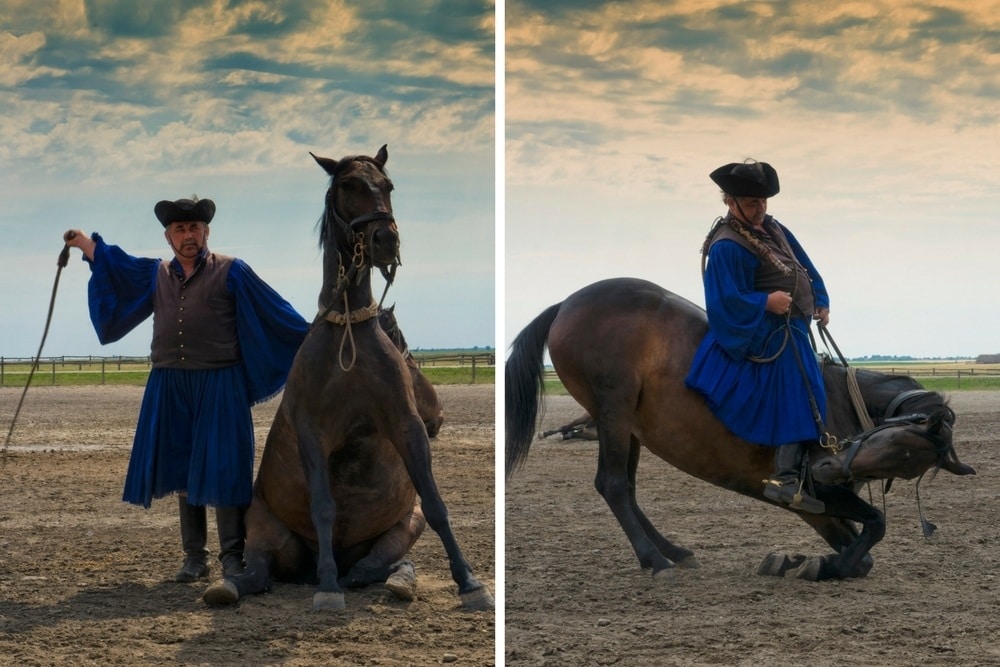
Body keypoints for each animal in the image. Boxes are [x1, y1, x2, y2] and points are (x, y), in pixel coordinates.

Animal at [504, 280, 972, 580]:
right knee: (614, 484)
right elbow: (875, 526)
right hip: (612, 410)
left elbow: (866, 548)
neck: (841, 403)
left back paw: (671, 551)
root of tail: (567, 303)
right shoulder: (814, 497)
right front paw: (822, 566)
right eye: (893, 441)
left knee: (626, 488)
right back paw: (656, 561)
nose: (825, 467)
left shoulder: (818, 505)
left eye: (905, 462)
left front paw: (799, 562)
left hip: (623, 423)